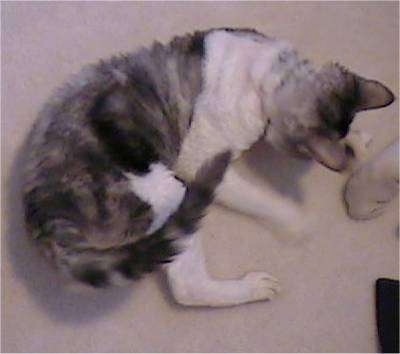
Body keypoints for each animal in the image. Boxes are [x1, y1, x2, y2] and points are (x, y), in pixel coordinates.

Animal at [23, 27, 396, 306]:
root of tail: (44, 224)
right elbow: (266, 200)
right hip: (171, 191)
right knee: (187, 287)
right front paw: (297, 222)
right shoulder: (201, 159)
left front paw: (357, 143)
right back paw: (251, 287)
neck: (268, 72)